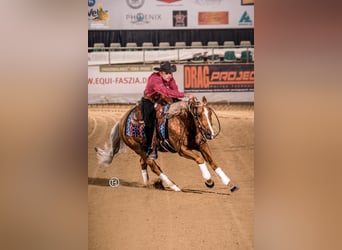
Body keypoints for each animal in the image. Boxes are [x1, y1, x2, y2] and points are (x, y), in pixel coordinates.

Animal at [93, 96, 238, 192]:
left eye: (210, 113)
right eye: (198, 114)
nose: (210, 133)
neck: (182, 121)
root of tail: (122, 120)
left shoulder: (202, 145)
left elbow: (213, 162)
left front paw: (229, 183)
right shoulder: (181, 150)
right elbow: (199, 159)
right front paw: (209, 181)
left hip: (146, 149)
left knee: (143, 162)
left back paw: (147, 183)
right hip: (138, 148)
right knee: (152, 165)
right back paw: (173, 186)